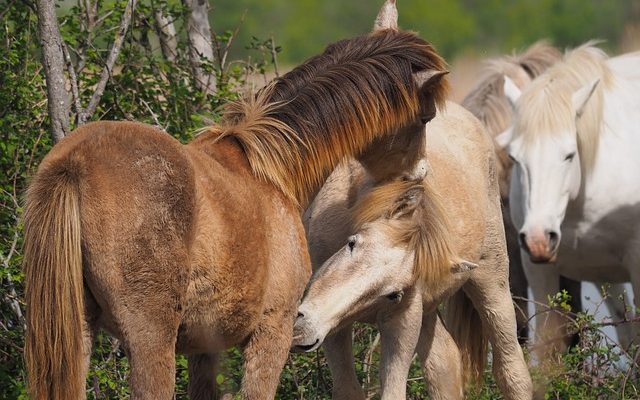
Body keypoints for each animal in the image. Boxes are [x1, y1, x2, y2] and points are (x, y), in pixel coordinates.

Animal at [22, 27, 448, 396]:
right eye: (424, 117)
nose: (419, 180)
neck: (271, 170)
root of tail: (76, 163)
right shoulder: (273, 332)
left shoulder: (205, 350)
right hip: (150, 341)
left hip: (77, 333)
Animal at [298, 102, 532, 400]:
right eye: (352, 244)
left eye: (394, 294)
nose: (305, 325)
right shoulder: (334, 331)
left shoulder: (402, 319)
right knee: (444, 364)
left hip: (492, 283)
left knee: (511, 369)